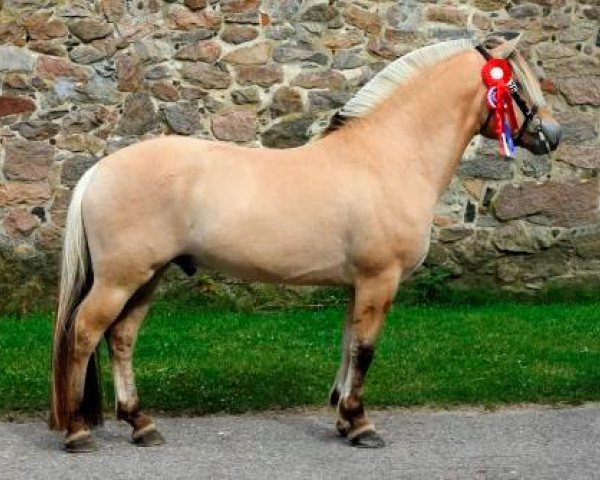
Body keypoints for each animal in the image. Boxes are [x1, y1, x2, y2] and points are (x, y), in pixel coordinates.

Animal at [51, 33, 564, 450]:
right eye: (518, 85)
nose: (553, 135)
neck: (387, 157)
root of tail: (100, 170)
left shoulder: (360, 284)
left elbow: (348, 345)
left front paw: (343, 418)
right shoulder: (381, 280)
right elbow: (365, 350)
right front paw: (361, 425)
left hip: (148, 277)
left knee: (121, 338)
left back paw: (141, 425)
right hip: (121, 278)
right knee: (84, 333)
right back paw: (77, 432)